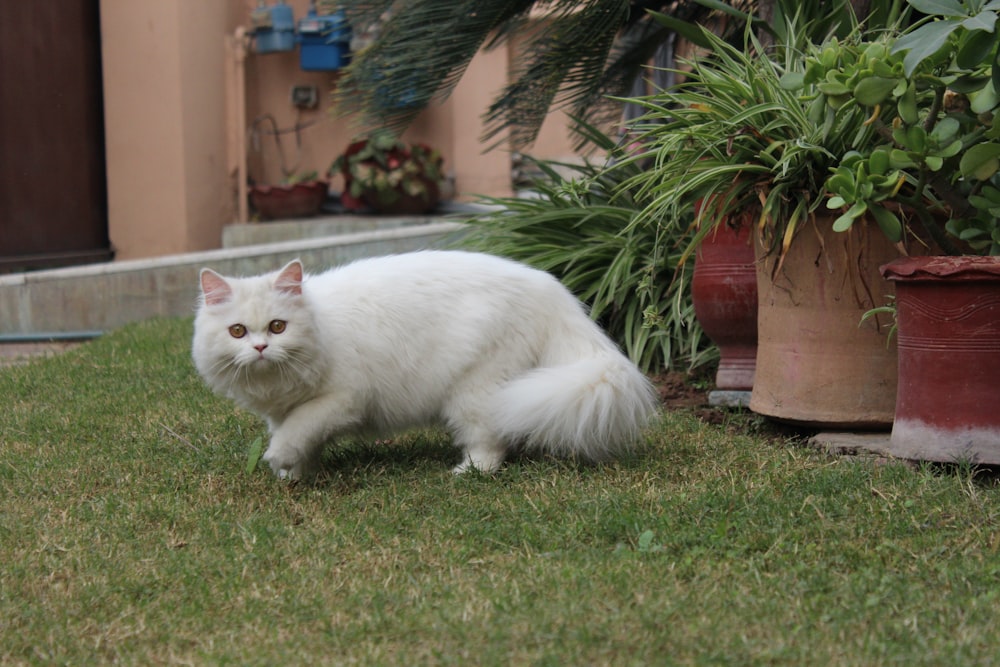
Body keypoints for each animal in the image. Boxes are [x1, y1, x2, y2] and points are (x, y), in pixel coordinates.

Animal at [191, 252, 660, 480]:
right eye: (237, 331)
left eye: (277, 326)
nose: (260, 348)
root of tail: (551, 289)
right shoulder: (285, 410)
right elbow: (301, 438)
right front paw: (296, 474)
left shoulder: (341, 399)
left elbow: (298, 430)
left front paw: (278, 460)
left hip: (474, 390)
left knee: (490, 443)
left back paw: (467, 473)